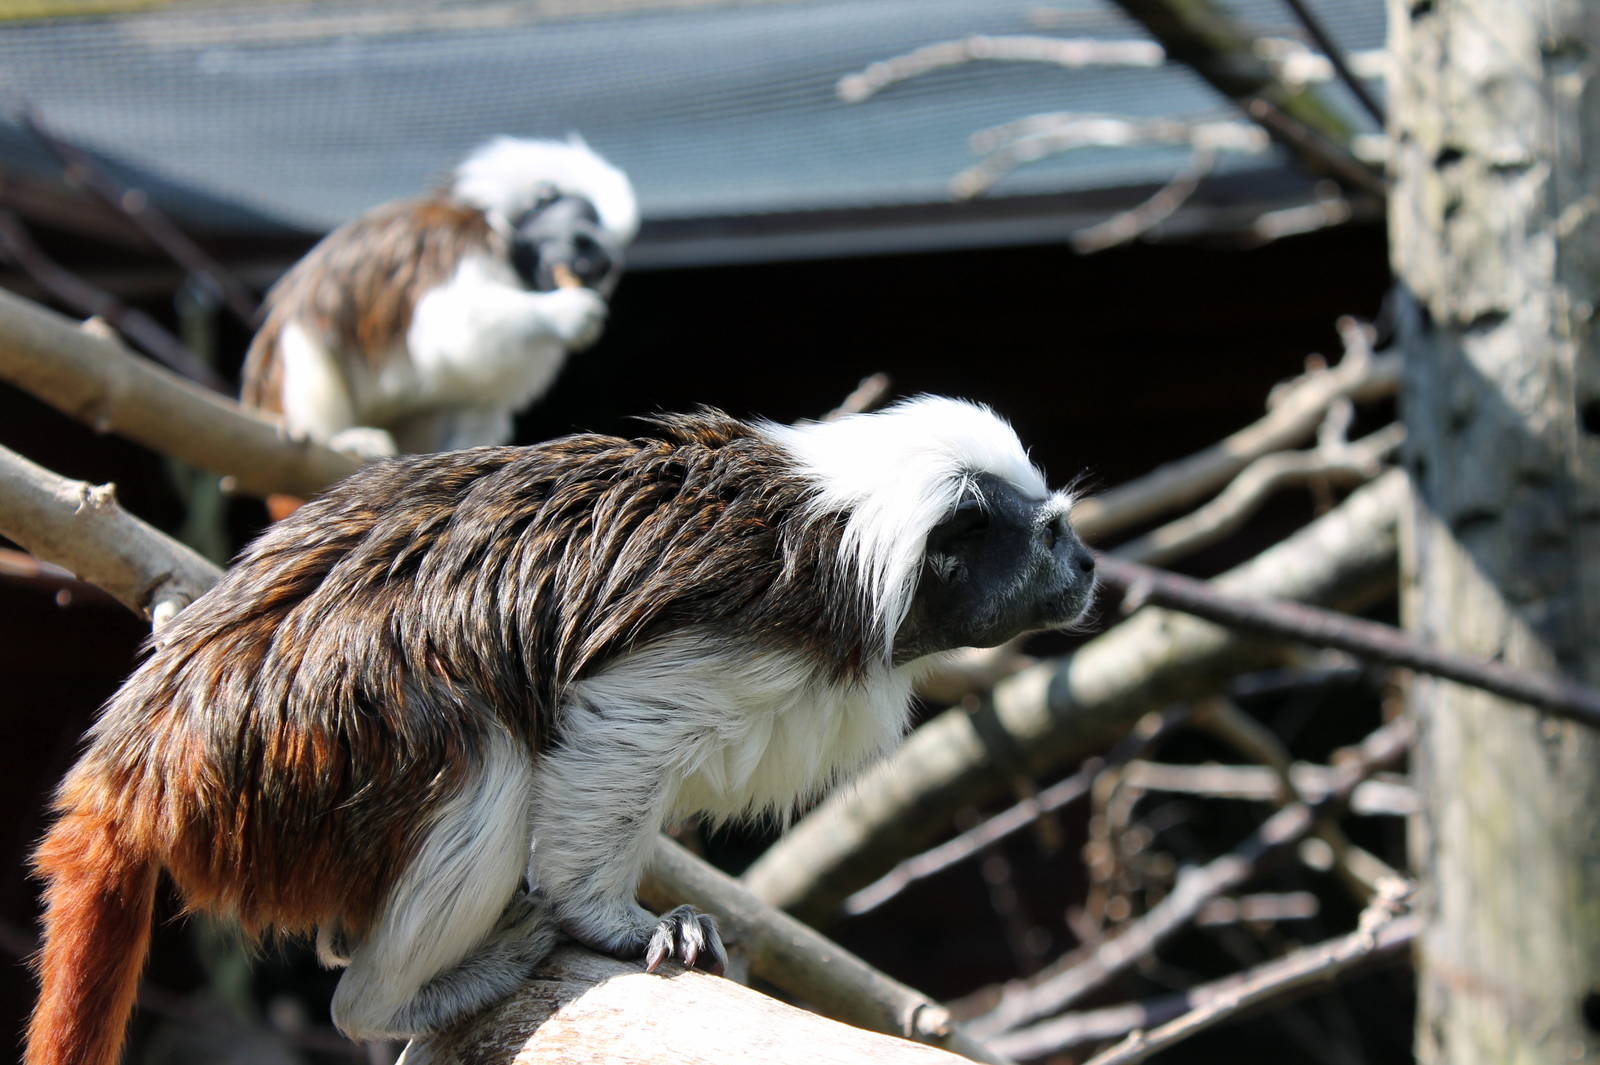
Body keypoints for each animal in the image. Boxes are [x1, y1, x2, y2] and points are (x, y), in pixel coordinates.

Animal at [25, 395, 1098, 1065]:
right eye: (1048, 537)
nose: (1088, 566)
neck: (841, 538)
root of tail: (141, 757)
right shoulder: (731, 635)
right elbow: (614, 727)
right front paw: (619, 924)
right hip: (292, 763)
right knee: (483, 745)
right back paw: (395, 995)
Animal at [240, 134, 637, 460]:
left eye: (602, 266)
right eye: (581, 242)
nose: (587, 269)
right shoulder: (454, 244)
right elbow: (450, 329)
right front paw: (567, 312)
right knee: (306, 340)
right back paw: (341, 438)